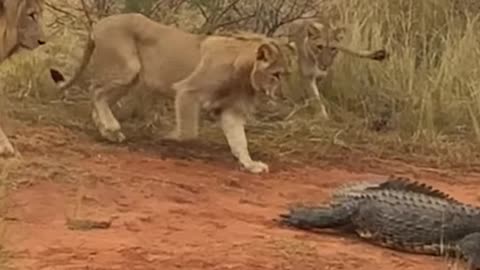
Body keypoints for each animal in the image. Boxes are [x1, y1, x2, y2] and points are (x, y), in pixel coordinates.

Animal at [48, 12, 288, 174]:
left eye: (285, 74)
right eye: (276, 74)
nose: (283, 96)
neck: (245, 75)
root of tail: (99, 24)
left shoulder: (231, 109)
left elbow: (239, 140)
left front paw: (251, 165)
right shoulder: (187, 90)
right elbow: (189, 131)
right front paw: (167, 136)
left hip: (130, 78)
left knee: (99, 96)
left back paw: (108, 131)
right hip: (128, 68)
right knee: (95, 91)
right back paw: (111, 127)